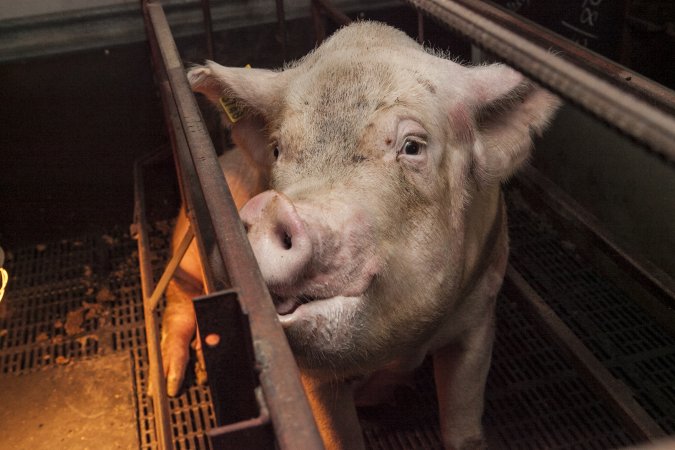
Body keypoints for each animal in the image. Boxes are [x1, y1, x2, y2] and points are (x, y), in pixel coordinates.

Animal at [162, 21, 560, 450]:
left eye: (412, 146)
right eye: (277, 149)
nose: (268, 207)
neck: (400, 348)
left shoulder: (481, 311)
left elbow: (462, 427)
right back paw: (173, 382)